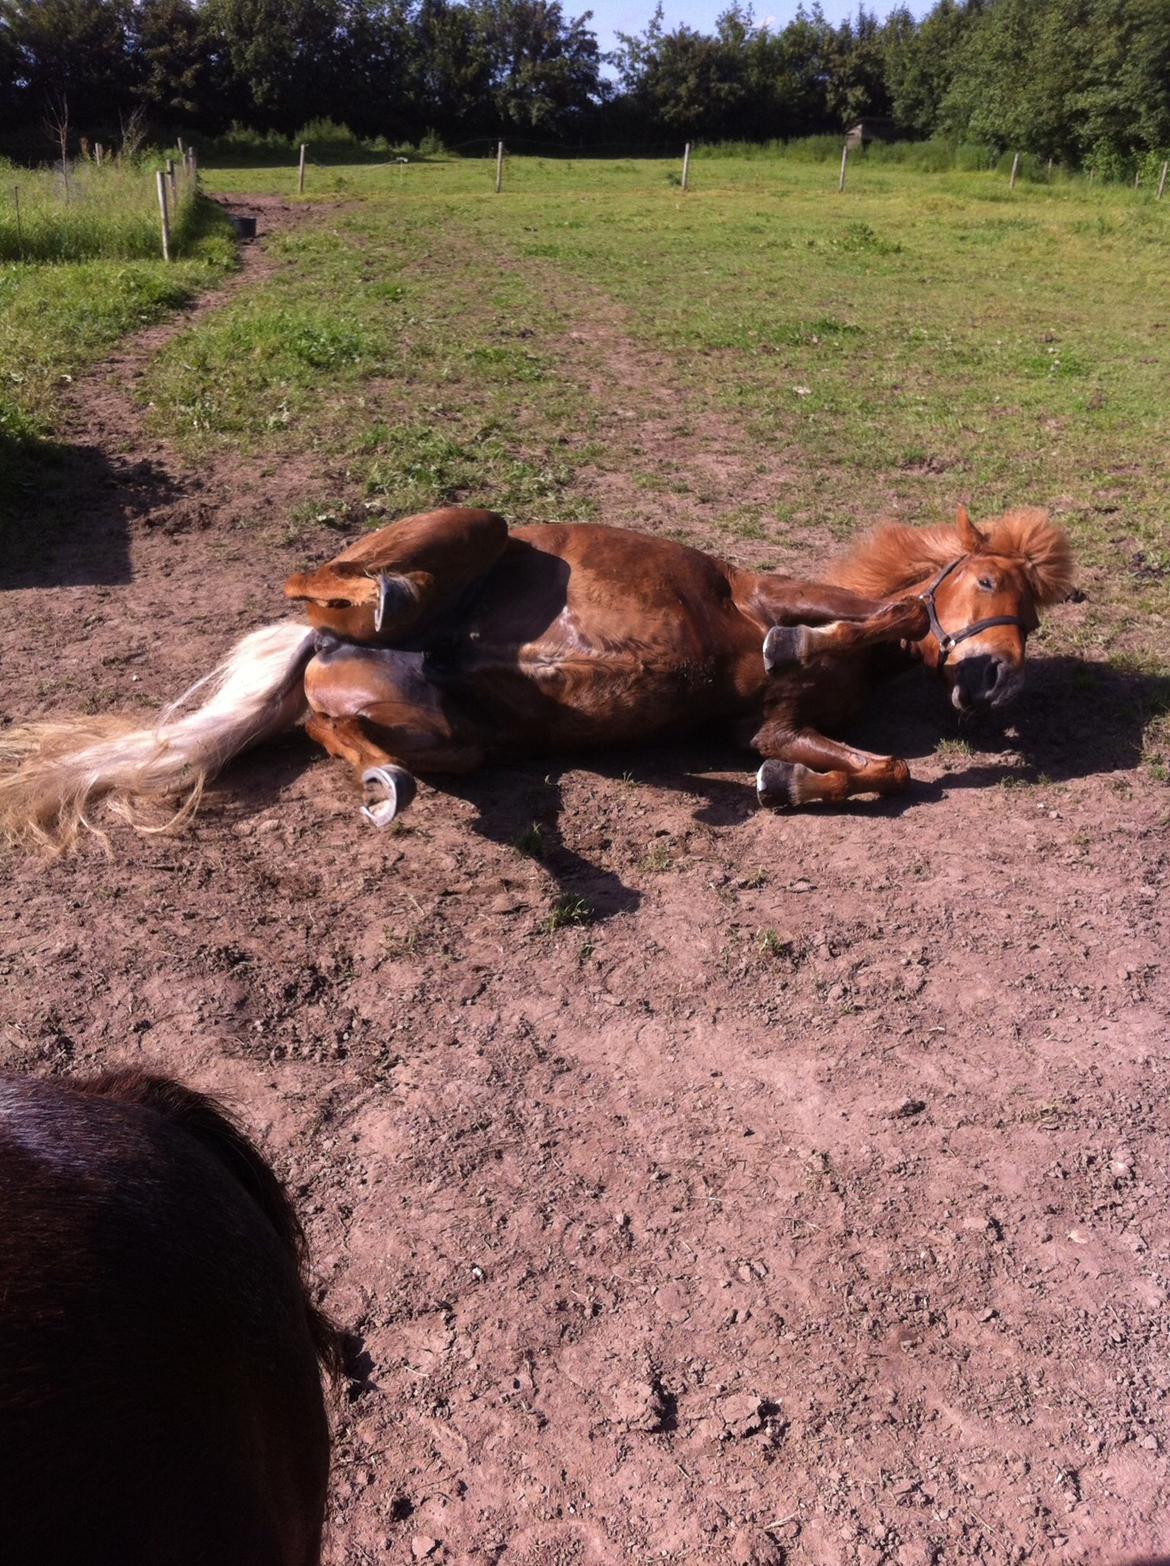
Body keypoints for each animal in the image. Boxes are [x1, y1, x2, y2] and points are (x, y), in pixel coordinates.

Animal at [0, 501, 1071, 851]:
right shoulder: (772, 598)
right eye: (986, 582)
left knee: (331, 729)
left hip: (452, 738)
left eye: (1035, 616)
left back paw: (385, 782)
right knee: (314, 581)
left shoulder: (762, 727)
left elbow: (886, 771)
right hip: (460, 530)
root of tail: (330, 647)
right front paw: (808, 645)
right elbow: (875, 615)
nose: (996, 685)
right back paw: (389, 594)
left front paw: (789, 787)